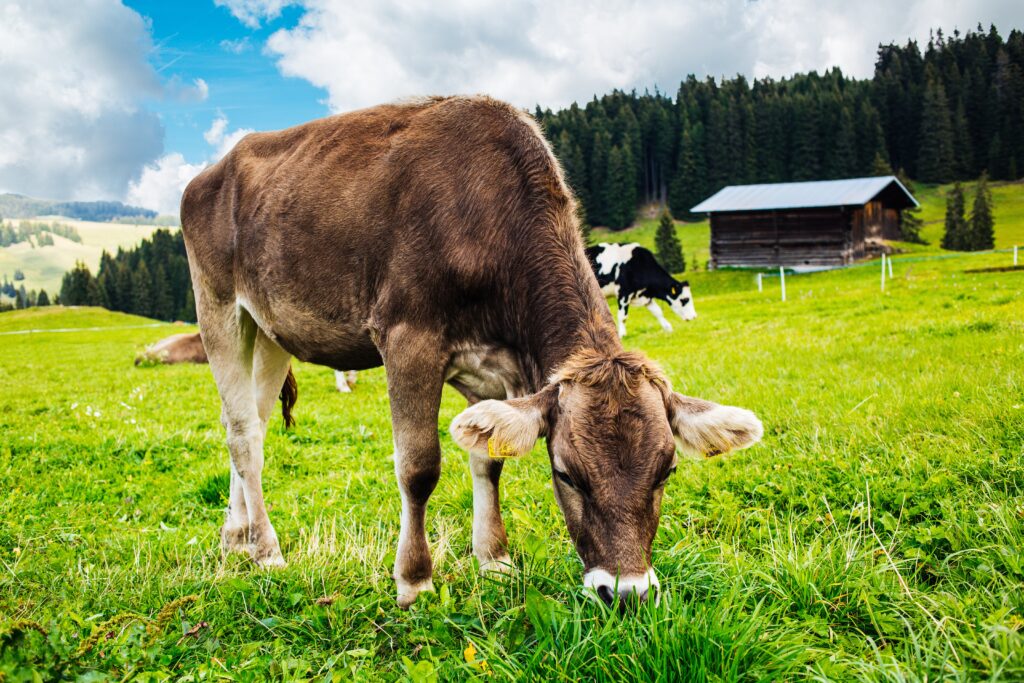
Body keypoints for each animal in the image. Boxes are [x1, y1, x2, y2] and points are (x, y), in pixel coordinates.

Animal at [182, 94, 761, 610]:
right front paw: (415, 580)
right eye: (566, 473)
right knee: (243, 435)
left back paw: (235, 535)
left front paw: (496, 561)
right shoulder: (408, 337)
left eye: (666, 471)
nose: (626, 595)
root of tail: (213, 170)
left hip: (269, 330)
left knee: (250, 423)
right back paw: (266, 550)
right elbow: (419, 467)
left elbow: (488, 459)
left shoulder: (498, 366)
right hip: (219, 307)